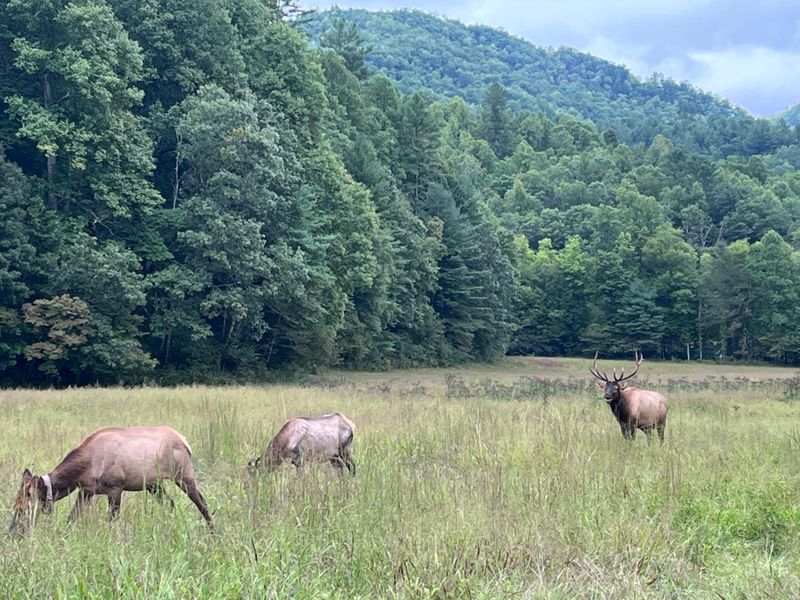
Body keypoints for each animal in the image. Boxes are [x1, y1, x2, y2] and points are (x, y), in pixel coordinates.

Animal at [8, 426, 212, 538]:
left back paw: (213, 533)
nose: (13, 533)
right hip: (153, 484)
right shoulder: (86, 491)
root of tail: (185, 442)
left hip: (183, 475)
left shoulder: (115, 488)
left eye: (22, 508)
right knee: (170, 503)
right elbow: (71, 518)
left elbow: (110, 520)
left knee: (202, 503)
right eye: (15, 505)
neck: (84, 469)